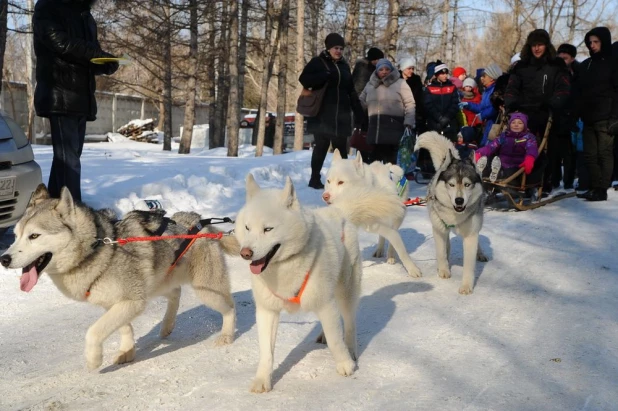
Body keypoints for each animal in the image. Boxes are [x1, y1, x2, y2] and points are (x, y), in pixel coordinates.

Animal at [0, 186, 237, 370]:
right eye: (16, 236)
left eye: (34, 236)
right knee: (175, 292)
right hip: (160, 281)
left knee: (229, 307)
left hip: (207, 290)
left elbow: (94, 332)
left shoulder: (132, 302)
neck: (96, 249)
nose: (4, 259)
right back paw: (167, 325)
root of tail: (200, 222)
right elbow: (124, 327)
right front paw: (127, 351)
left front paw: (93, 359)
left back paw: (226, 335)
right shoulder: (114, 303)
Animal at [236, 175, 360, 392]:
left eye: (268, 229)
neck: (284, 267)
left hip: (346, 291)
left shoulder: (325, 304)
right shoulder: (267, 311)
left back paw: (350, 351)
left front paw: (345, 364)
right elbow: (266, 352)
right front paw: (262, 380)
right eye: (247, 228)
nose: (245, 253)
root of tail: (339, 211)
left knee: (349, 323)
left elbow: (336, 340)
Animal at [322, 150, 418, 278]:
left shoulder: (389, 228)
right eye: (328, 181)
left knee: (392, 238)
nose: (325, 196)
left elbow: (401, 250)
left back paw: (390, 256)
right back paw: (379, 250)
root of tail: (394, 167)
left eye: (341, 182)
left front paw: (413, 269)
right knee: (382, 237)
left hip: (397, 218)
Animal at [414, 130, 486, 294]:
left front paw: (466, 286)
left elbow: (469, 264)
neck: (456, 216)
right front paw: (443, 270)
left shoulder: (471, 236)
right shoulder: (438, 229)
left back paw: (480, 253)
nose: (459, 200)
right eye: (451, 184)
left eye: (467, 184)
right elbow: (441, 252)